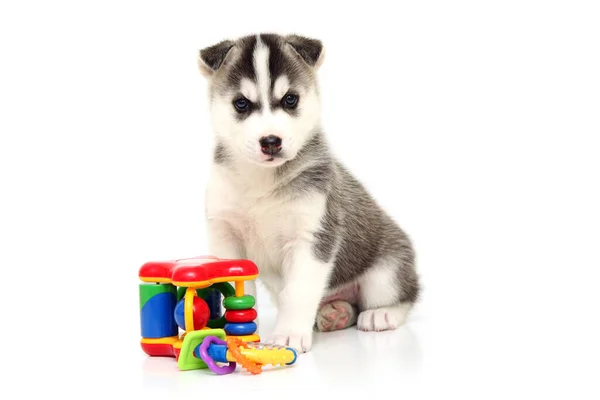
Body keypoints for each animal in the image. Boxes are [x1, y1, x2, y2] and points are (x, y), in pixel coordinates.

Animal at [197, 34, 418, 354]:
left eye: (290, 99)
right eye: (241, 103)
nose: (271, 141)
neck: (262, 182)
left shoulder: (312, 236)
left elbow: (298, 292)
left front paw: (288, 334)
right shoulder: (225, 236)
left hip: (386, 273)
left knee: (400, 297)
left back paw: (382, 313)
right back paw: (335, 312)